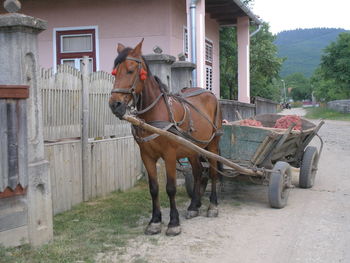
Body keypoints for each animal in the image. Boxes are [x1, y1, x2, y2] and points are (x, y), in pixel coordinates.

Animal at [108, 39, 221, 237]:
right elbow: (154, 188)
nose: (115, 105)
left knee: (213, 173)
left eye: (130, 70)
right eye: (115, 72)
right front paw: (155, 221)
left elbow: (170, 188)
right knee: (198, 172)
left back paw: (212, 206)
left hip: (212, 145)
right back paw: (194, 205)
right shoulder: (146, 155)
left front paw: (173, 222)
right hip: (192, 149)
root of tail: (209, 93)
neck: (154, 113)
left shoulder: (169, 155)